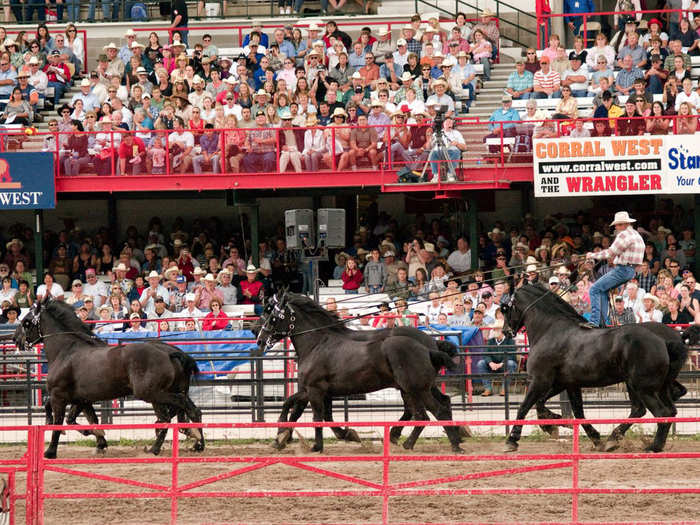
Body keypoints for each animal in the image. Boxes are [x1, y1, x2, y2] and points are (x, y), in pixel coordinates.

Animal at [14, 296, 205, 456]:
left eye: (26, 322)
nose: (16, 339)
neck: (66, 351)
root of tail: (170, 352)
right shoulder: (81, 399)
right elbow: (84, 419)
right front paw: (100, 442)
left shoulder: (58, 396)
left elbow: (59, 421)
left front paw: (50, 451)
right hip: (169, 392)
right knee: (190, 411)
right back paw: (196, 442)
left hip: (152, 394)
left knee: (171, 414)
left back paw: (157, 448)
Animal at [254, 288, 462, 452]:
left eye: (273, 316)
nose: (260, 340)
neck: (317, 344)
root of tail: (429, 346)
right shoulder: (315, 391)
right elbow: (294, 405)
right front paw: (282, 436)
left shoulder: (315, 390)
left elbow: (315, 416)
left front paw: (313, 445)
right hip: (417, 388)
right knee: (436, 407)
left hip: (417, 389)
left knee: (431, 412)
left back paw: (437, 443)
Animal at [504, 284, 684, 452]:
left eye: (505, 308)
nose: (506, 331)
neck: (550, 330)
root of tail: (664, 340)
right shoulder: (566, 384)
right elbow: (571, 411)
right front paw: (590, 436)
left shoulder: (540, 381)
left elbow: (524, 407)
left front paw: (512, 440)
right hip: (651, 387)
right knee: (656, 411)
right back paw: (615, 439)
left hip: (643, 388)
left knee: (661, 413)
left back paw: (652, 446)